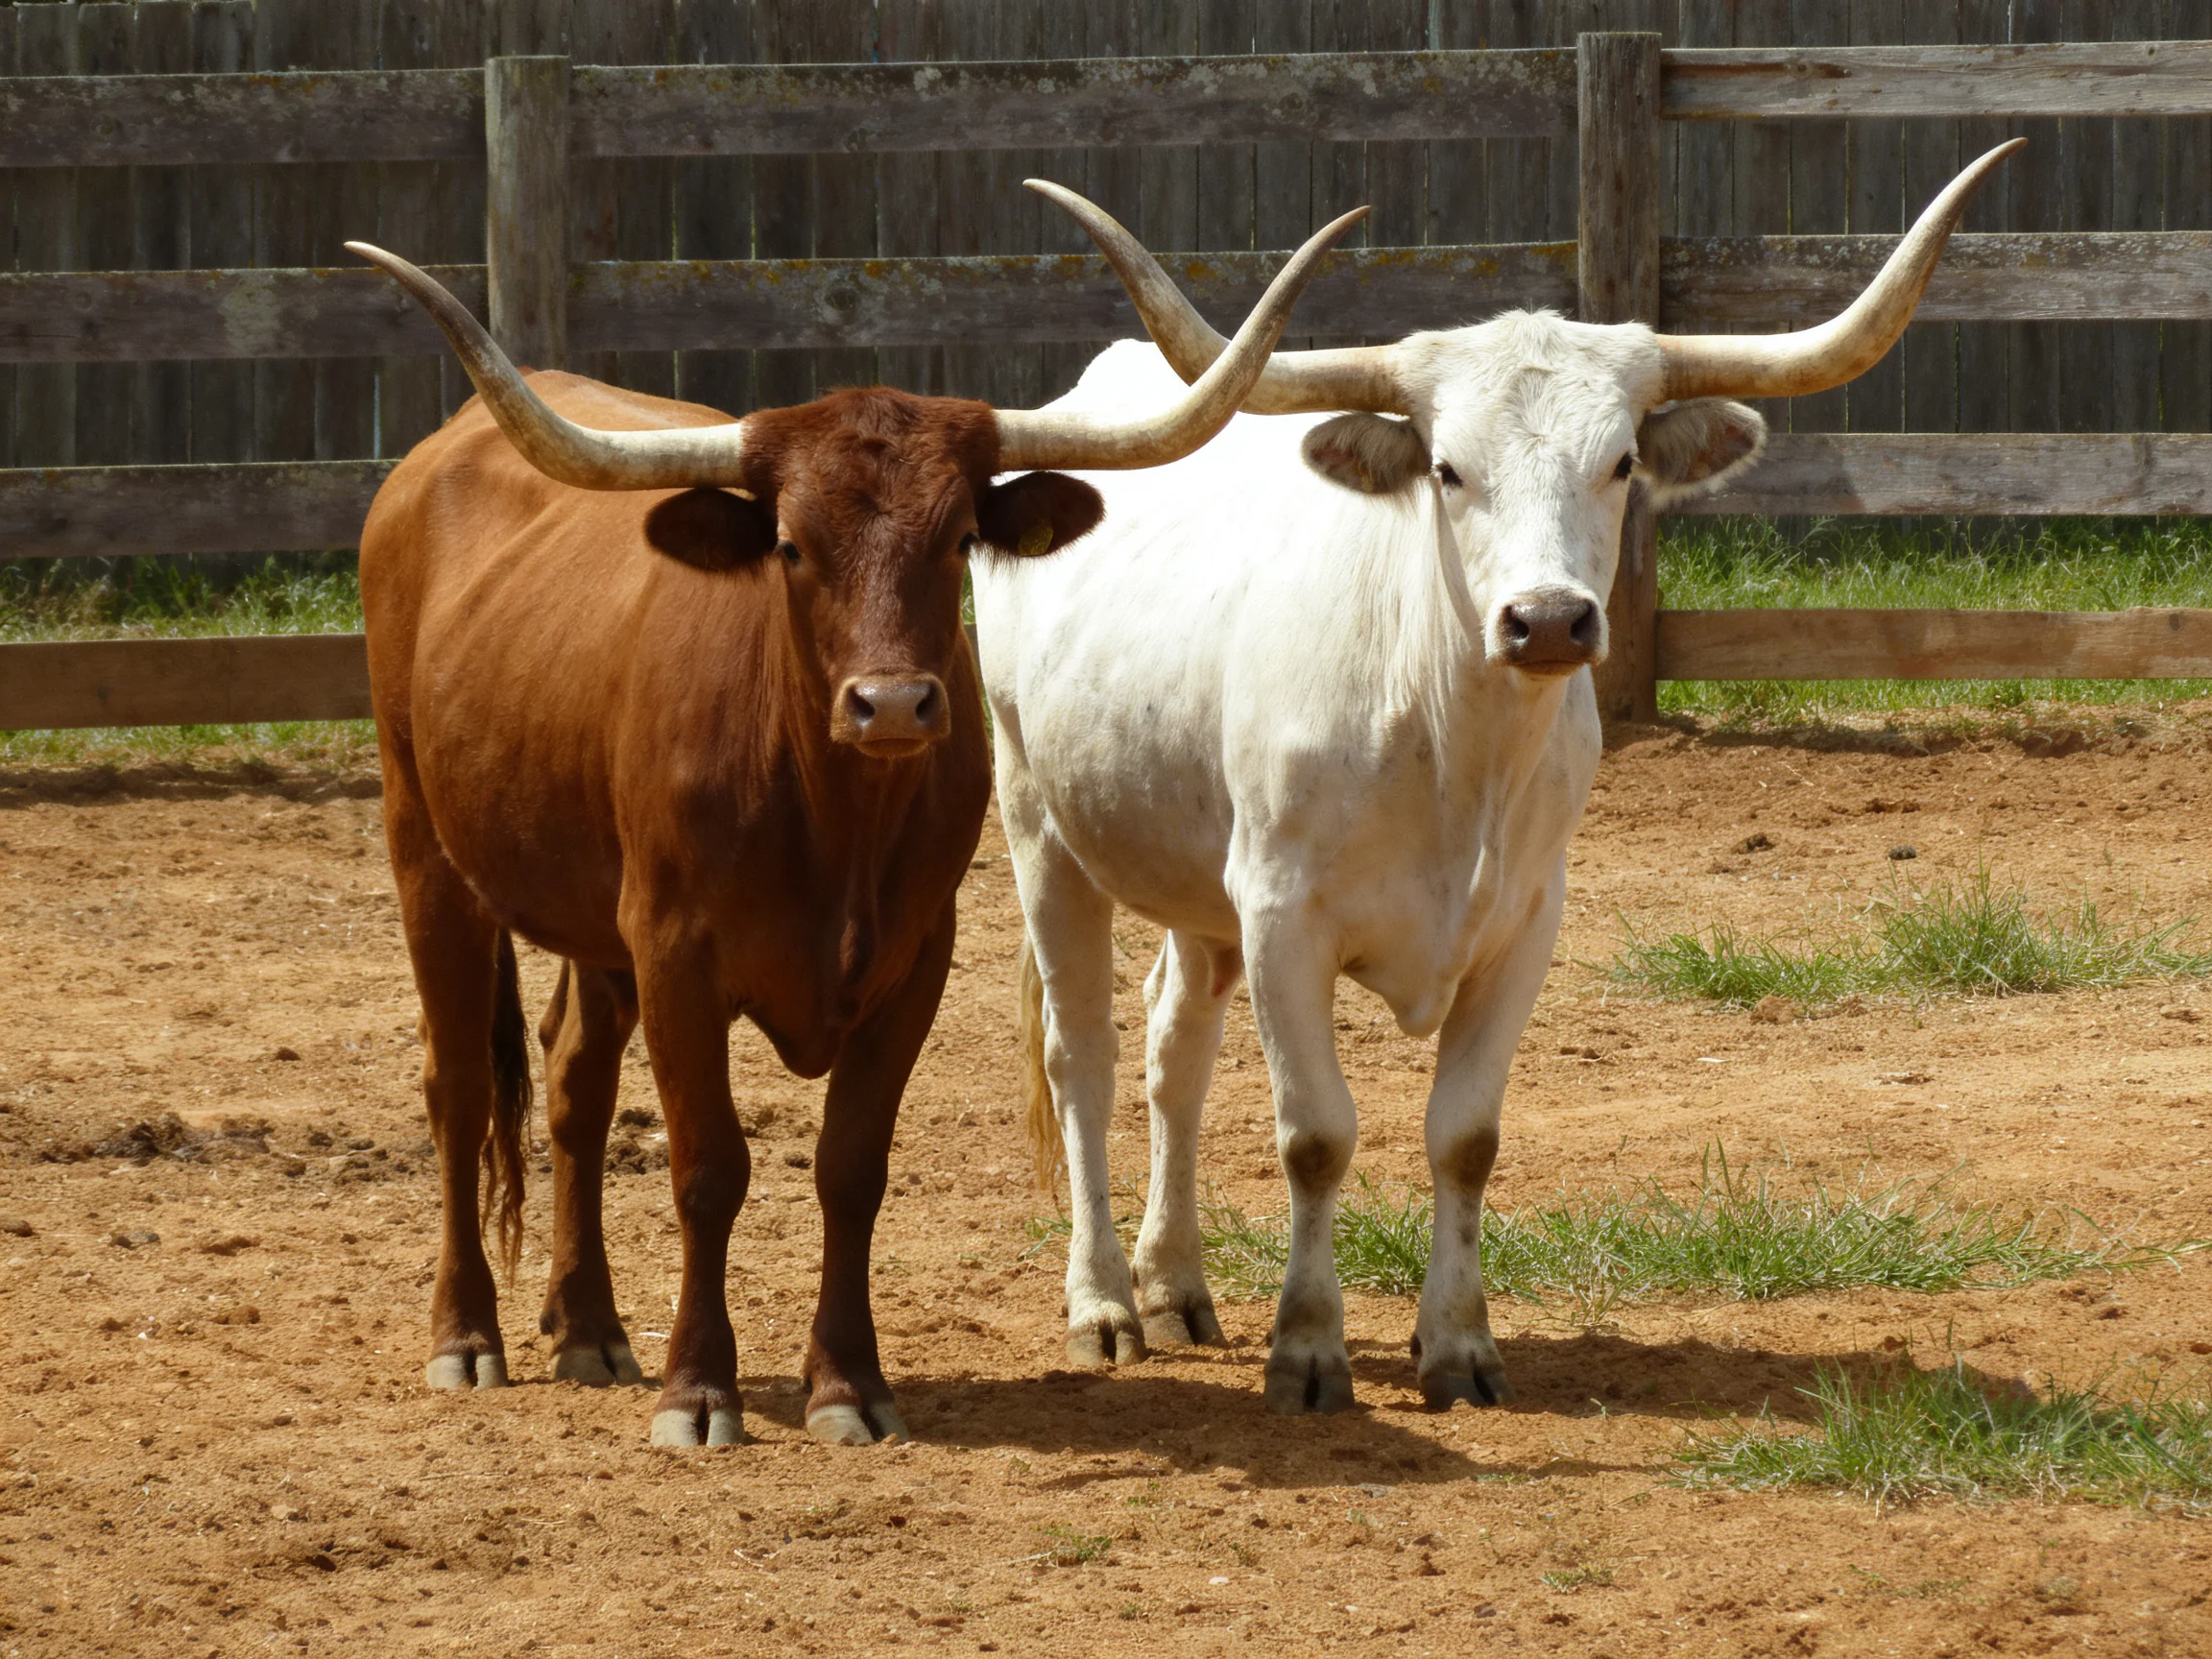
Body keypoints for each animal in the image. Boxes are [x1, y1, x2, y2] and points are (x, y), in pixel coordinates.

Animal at [347, 190, 1360, 1447]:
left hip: (593, 913)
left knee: (576, 1081)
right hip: (426, 849)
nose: (890, 704)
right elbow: (708, 1169)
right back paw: (468, 1334)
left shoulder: (909, 962)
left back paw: (587, 1326)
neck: (828, 821)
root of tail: (431, 461)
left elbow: (849, 1168)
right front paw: (701, 1391)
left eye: (958, 536)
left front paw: (848, 1385)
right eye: (790, 543)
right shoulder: (677, 953)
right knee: (458, 1085)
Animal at [976, 143, 2020, 1415]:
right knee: (1082, 1055)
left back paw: (1176, 1286)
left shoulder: (1523, 924)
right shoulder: (1283, 919)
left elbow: (1464, 1137)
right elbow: (1315, 1133)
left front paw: (1460, 1346)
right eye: (1446, 468)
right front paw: (1309, 1349)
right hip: (1040, 828)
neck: (1444, 747)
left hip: (1195, 884)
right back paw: (1105, 1304)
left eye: (1620, 461)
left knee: (1175, 1045)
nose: (1551, 620)